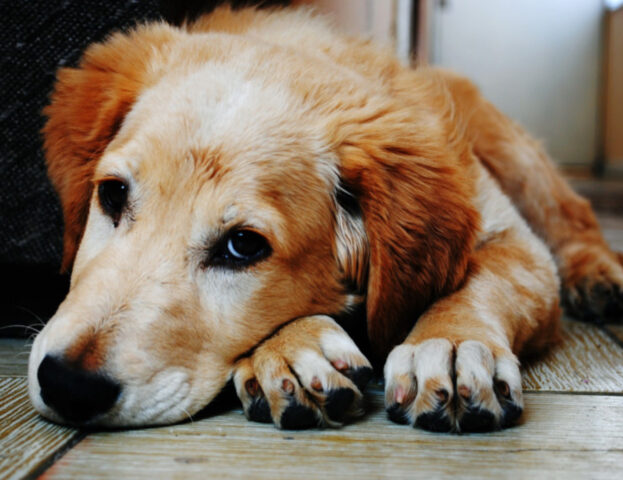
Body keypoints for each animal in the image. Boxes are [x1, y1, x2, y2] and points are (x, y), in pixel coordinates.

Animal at [28, 2, 623, 432]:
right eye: (112, 195)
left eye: (243, 246)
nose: (66, 385)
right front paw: (294, 349)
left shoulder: (516, 243)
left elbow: (482, 282)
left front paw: (451, 345)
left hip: (514, 154)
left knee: (573, 215)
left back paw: (599, 276)